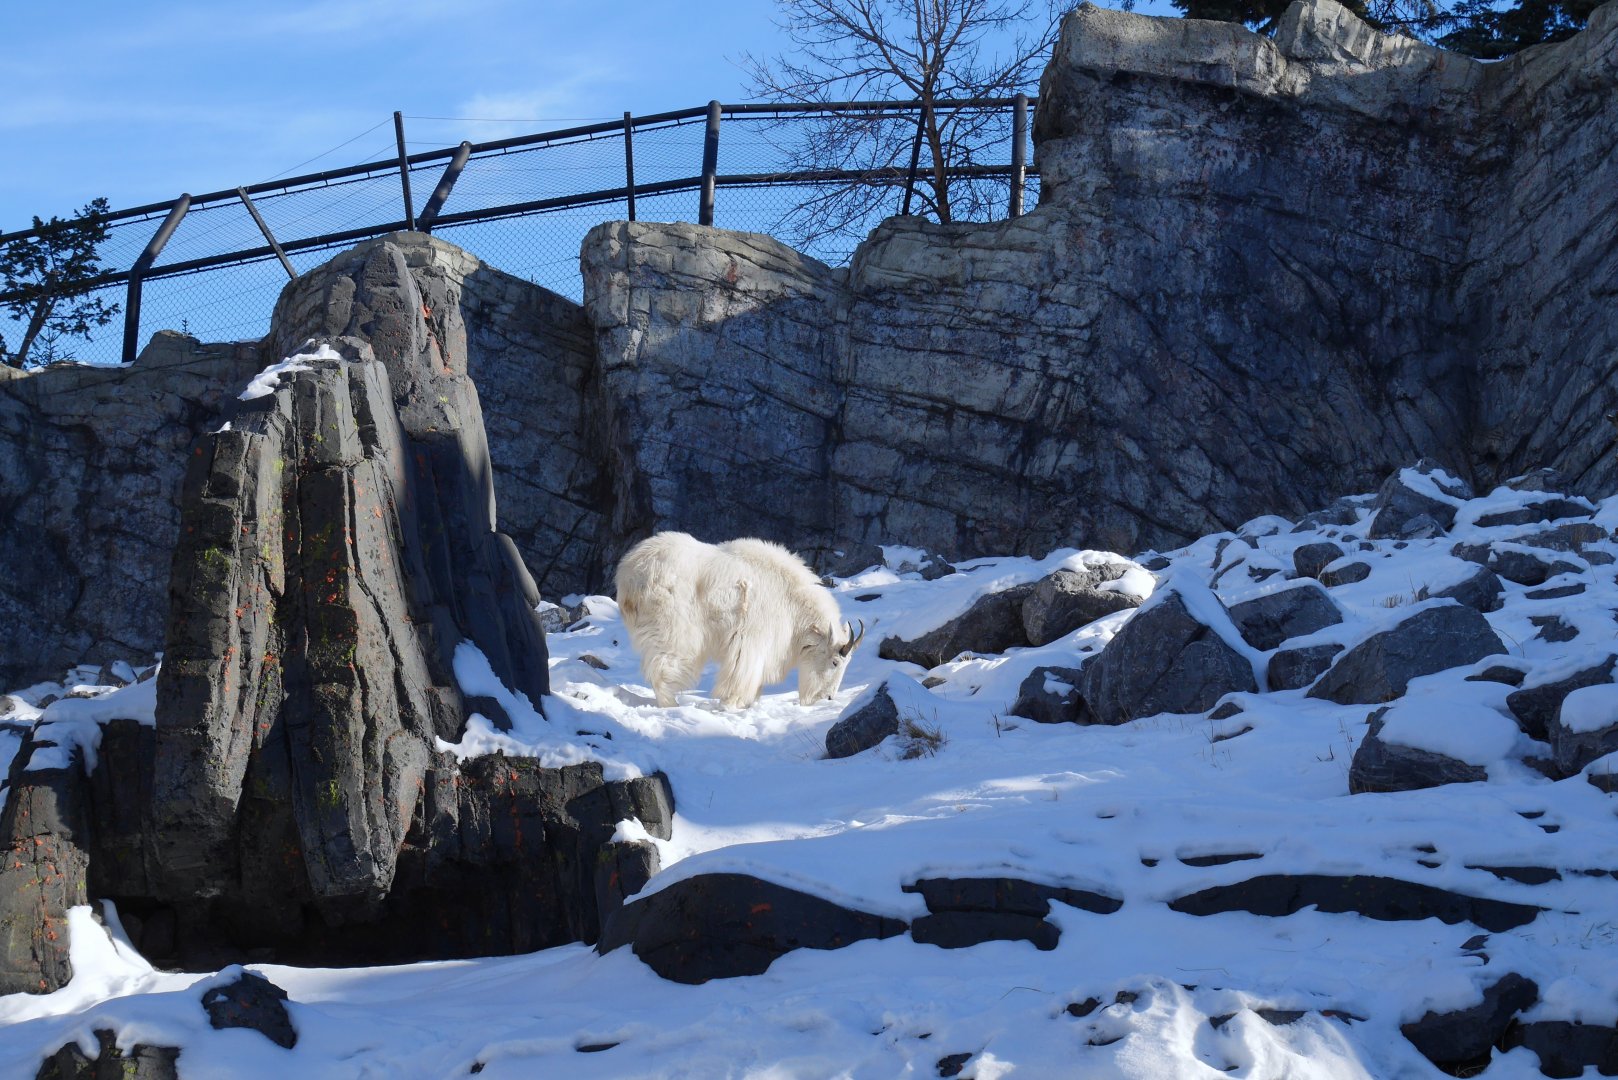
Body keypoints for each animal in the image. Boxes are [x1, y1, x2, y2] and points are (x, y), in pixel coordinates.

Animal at [614, 532, 865, 709]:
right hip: (672, 630)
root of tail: (629, 578)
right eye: (835, 662)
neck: (792, 603)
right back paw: (671, 704)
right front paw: (732, 702)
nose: (828, 698)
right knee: (662, 666)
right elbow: (742, 674)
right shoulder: (752, 640)